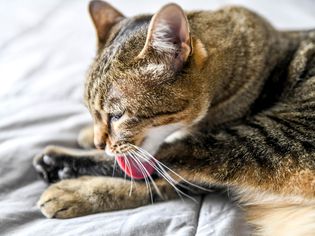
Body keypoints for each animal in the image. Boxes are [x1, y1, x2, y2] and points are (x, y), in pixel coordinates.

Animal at [32, 0, 315, 235]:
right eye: (92, 111)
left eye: (117, 115)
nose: (100, 143)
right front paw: (86, 135)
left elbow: (150, 179)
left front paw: (73, 187)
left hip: (265, 140)